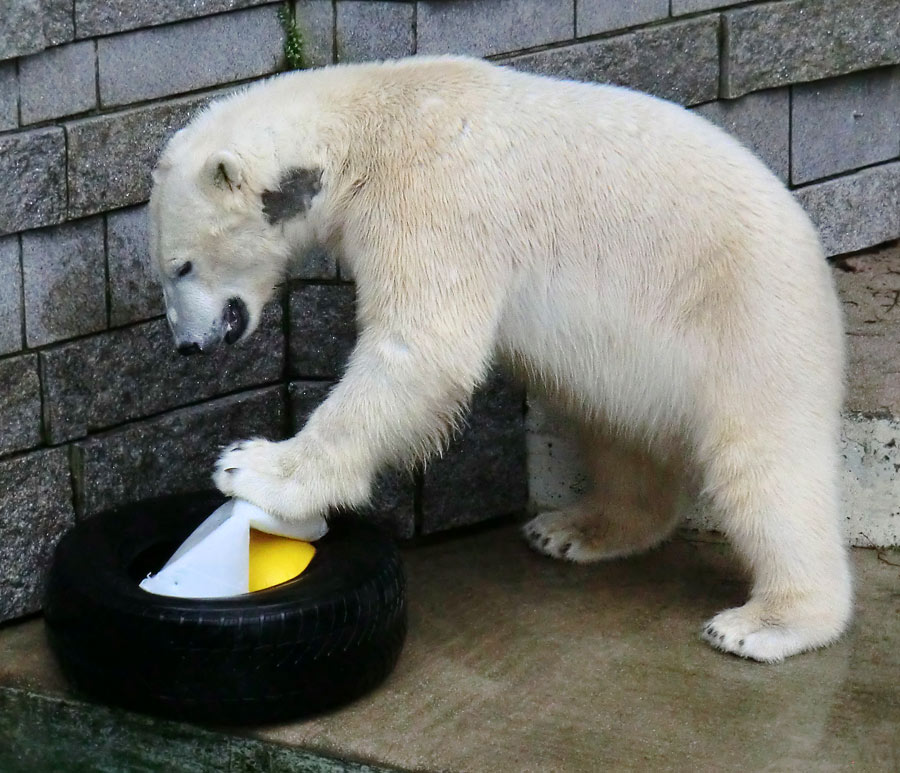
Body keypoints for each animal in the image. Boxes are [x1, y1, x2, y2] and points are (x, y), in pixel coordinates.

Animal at [149, 54, 852, 660]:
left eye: (180, 265)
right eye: (163, 271)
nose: (188, 345)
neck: (364, 129)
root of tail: (816, 262)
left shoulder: (435, 201)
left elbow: (420, 348)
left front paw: (254, 465)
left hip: (747, 320)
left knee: (761, 465)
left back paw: (766, 623)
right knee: (615, 430)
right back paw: (578, 528)